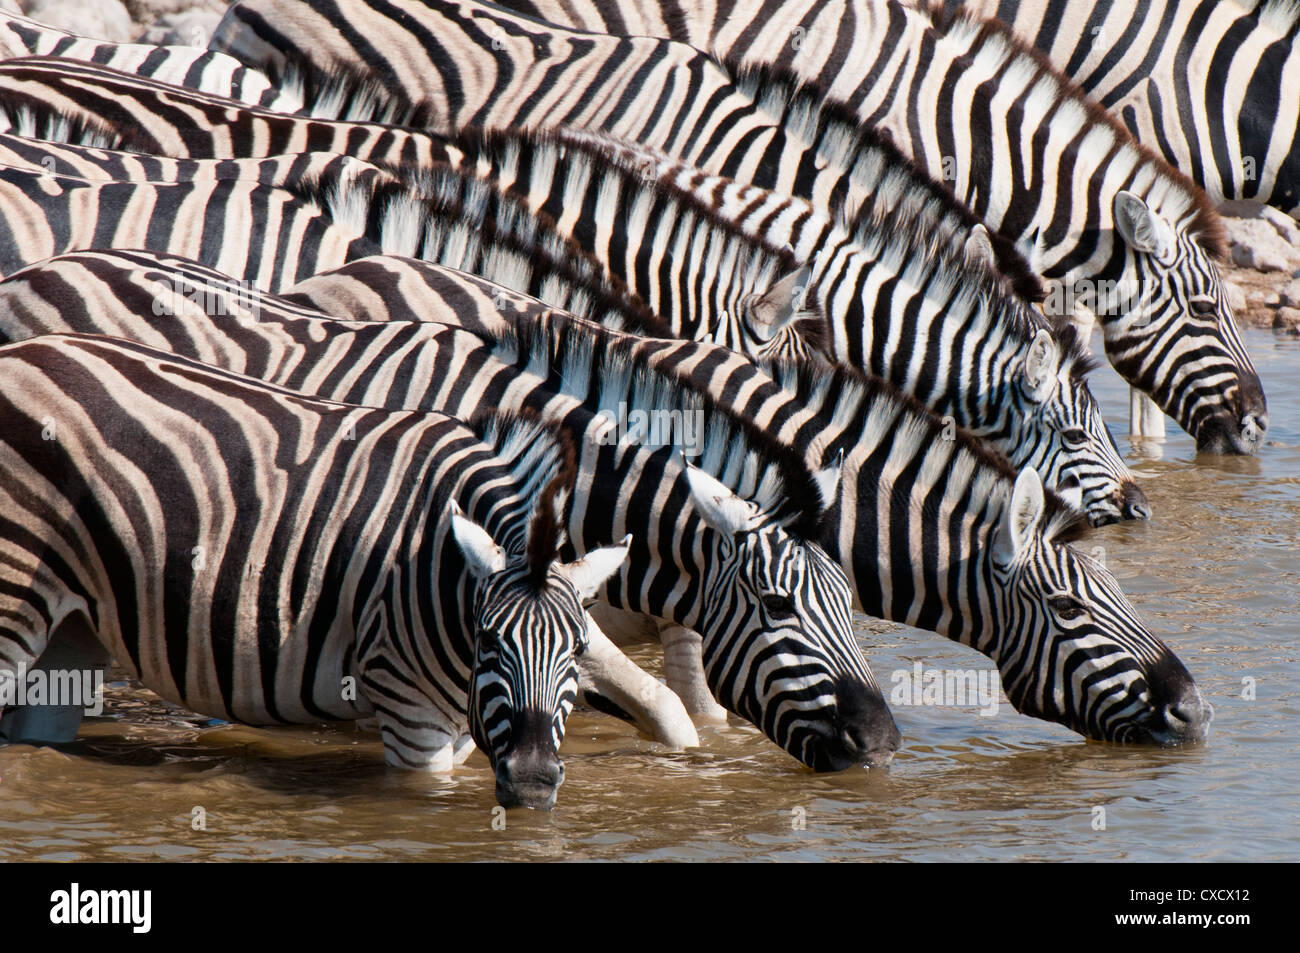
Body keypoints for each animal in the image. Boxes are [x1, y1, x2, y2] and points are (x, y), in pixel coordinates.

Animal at [0, 330, 634, 806]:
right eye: (487, 640)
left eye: (577, 650)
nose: (532, 784)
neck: (436, 565)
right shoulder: (412, 714)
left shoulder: (457, 724)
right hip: (14, 586)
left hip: (71, 623)